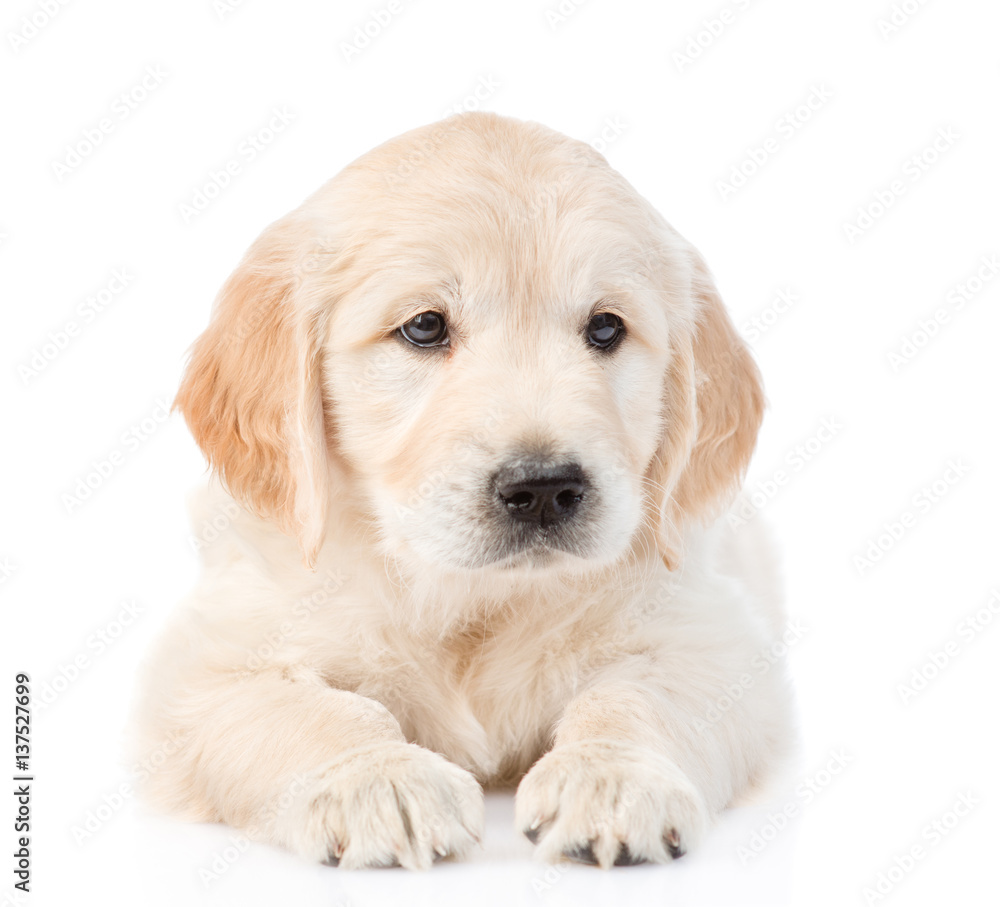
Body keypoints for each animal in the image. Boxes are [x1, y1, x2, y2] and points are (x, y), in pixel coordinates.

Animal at [131, 113, 788, 872]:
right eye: (424, 326)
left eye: (606, 328)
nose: (544, 487)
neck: (471, 598)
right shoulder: (207, 665)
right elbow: (315, 711)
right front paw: (377, 779)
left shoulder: (716, 639)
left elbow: (637, 698)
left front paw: (610, 776)